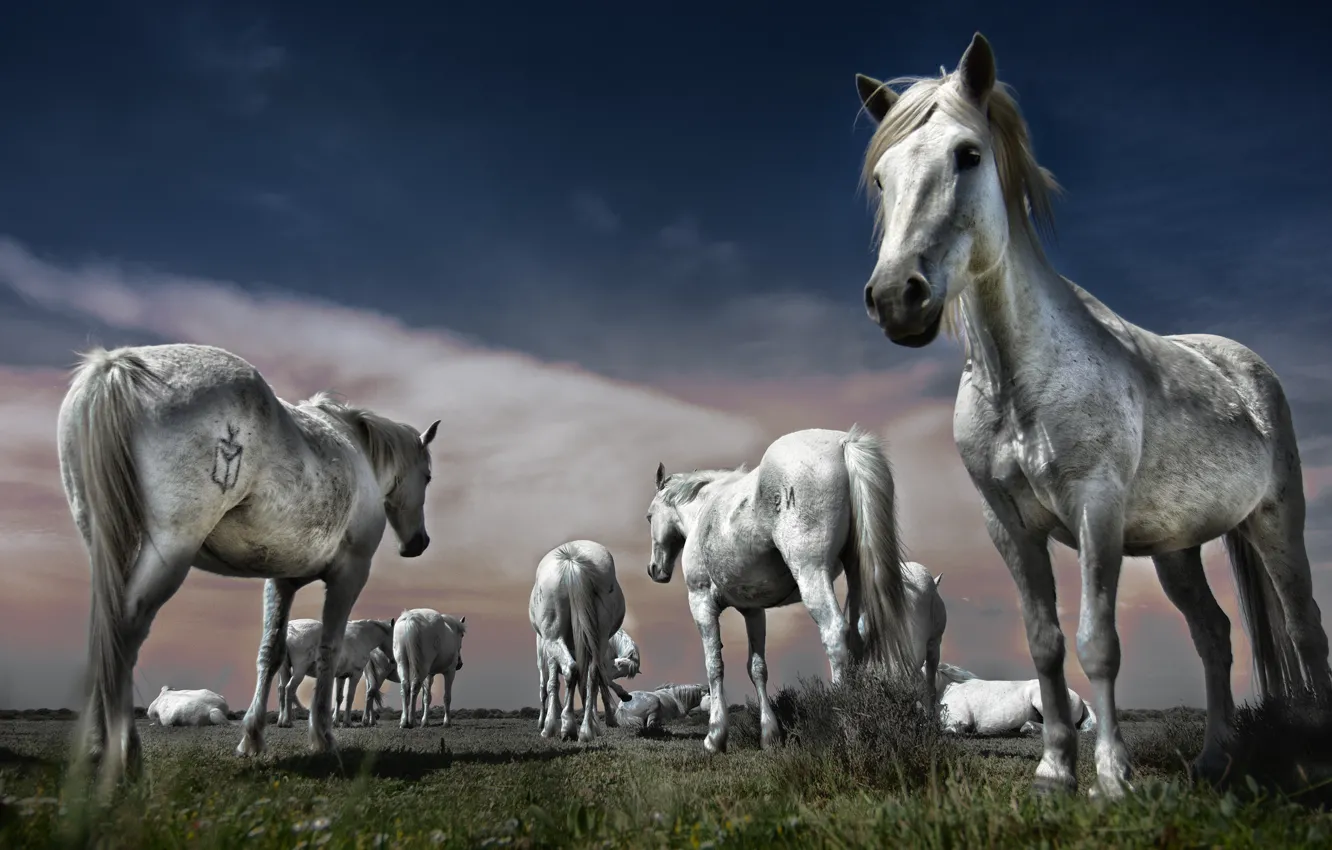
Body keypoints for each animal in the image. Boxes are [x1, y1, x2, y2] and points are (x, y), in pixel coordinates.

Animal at [57, 342, 439, 790]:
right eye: (427, 476)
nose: (418, 543)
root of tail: (117, 368)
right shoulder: (349, 575)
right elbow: (328, 653)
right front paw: (323, 738)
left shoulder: (281, 580)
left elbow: (269, 654)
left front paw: (253, 738)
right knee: (123, 631)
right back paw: (125, 756)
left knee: (104, 630)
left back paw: (97, 748)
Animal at [530, 540, 634, 741]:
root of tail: (572, 560)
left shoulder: (549, 652)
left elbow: (551, 685)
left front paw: (550, 725)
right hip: (599, 637)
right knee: (593, 675)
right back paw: (586, 730)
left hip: (554, 638)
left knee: (569, 671)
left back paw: (567, 727)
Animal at [646, 426, 917, 754]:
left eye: (649, 516)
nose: (654, 569)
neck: (705, 513)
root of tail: (843, 444)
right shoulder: (753, 611)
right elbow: (757, 668)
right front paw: (769, 735)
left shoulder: (701, 603)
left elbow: (714, 665)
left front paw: (715, 736)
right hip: (856, 574)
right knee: (860, 631)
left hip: (812, 574)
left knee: (835, 632)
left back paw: (843, 724)